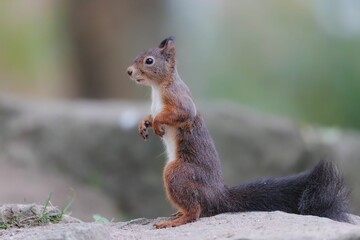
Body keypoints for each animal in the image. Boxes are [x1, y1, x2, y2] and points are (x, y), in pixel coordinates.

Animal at [126, 36, 348, 228]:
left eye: (149, 60)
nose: (128, 71)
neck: (157, 88)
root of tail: (218, 196)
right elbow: (150, 115)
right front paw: (144, 123)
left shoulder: (179, 98)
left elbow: (184, 113)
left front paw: (156, 122)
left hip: (179, 173)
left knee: (196, 211)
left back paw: (176, 220)